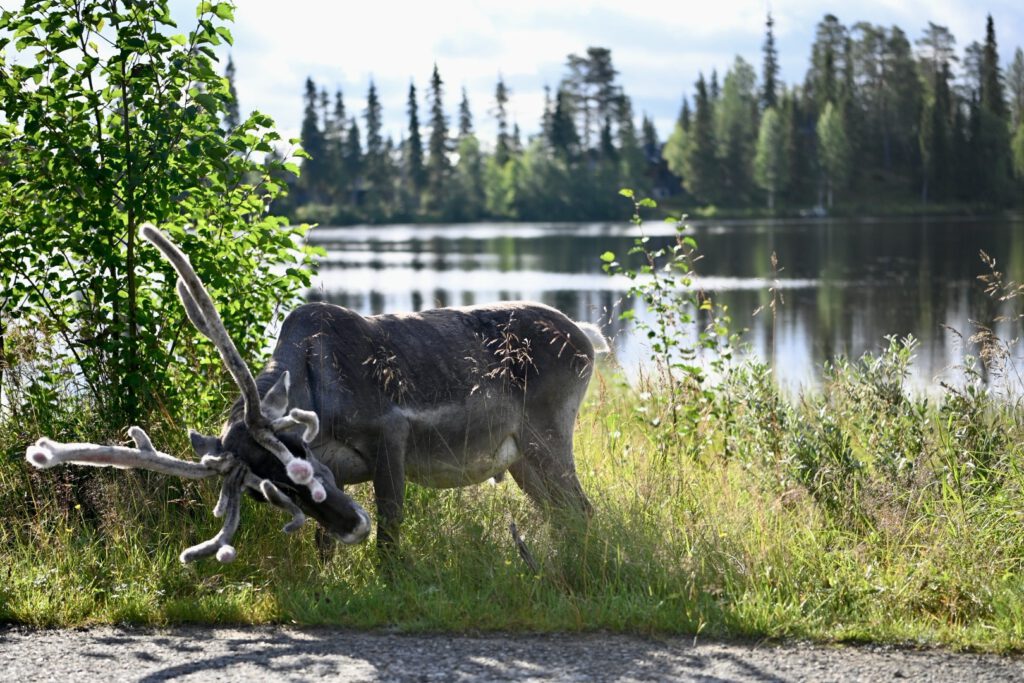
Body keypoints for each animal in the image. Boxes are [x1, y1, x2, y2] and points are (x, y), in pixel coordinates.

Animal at [25, 224, 609, 562]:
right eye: (266, 492)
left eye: (296, 456)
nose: (354, 527)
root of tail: (584, 336)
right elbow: (321, 545)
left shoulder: (390, 433)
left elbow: (392, 526)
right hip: (519, 457)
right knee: (566, 515)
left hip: (548, 434)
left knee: (582, 509)